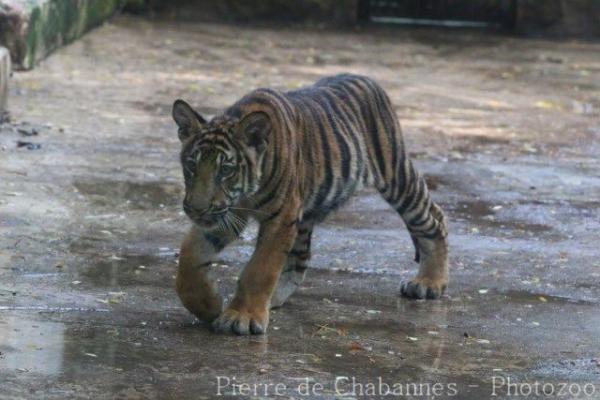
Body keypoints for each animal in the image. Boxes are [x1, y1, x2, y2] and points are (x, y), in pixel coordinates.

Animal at [171, 74, 448, 334]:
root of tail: (368, 80)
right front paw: (209, 306)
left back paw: (429, 283)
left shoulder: (280, 216)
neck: (246, 194)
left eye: (226, 170)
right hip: (304, 216)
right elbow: (190, 256)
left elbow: (261, 269)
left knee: (433, 220)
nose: (197, 209)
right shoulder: (230, 212)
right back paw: (274, 299)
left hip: (396, 176)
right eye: (192, 165)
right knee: (300, 257)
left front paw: (243, 317)